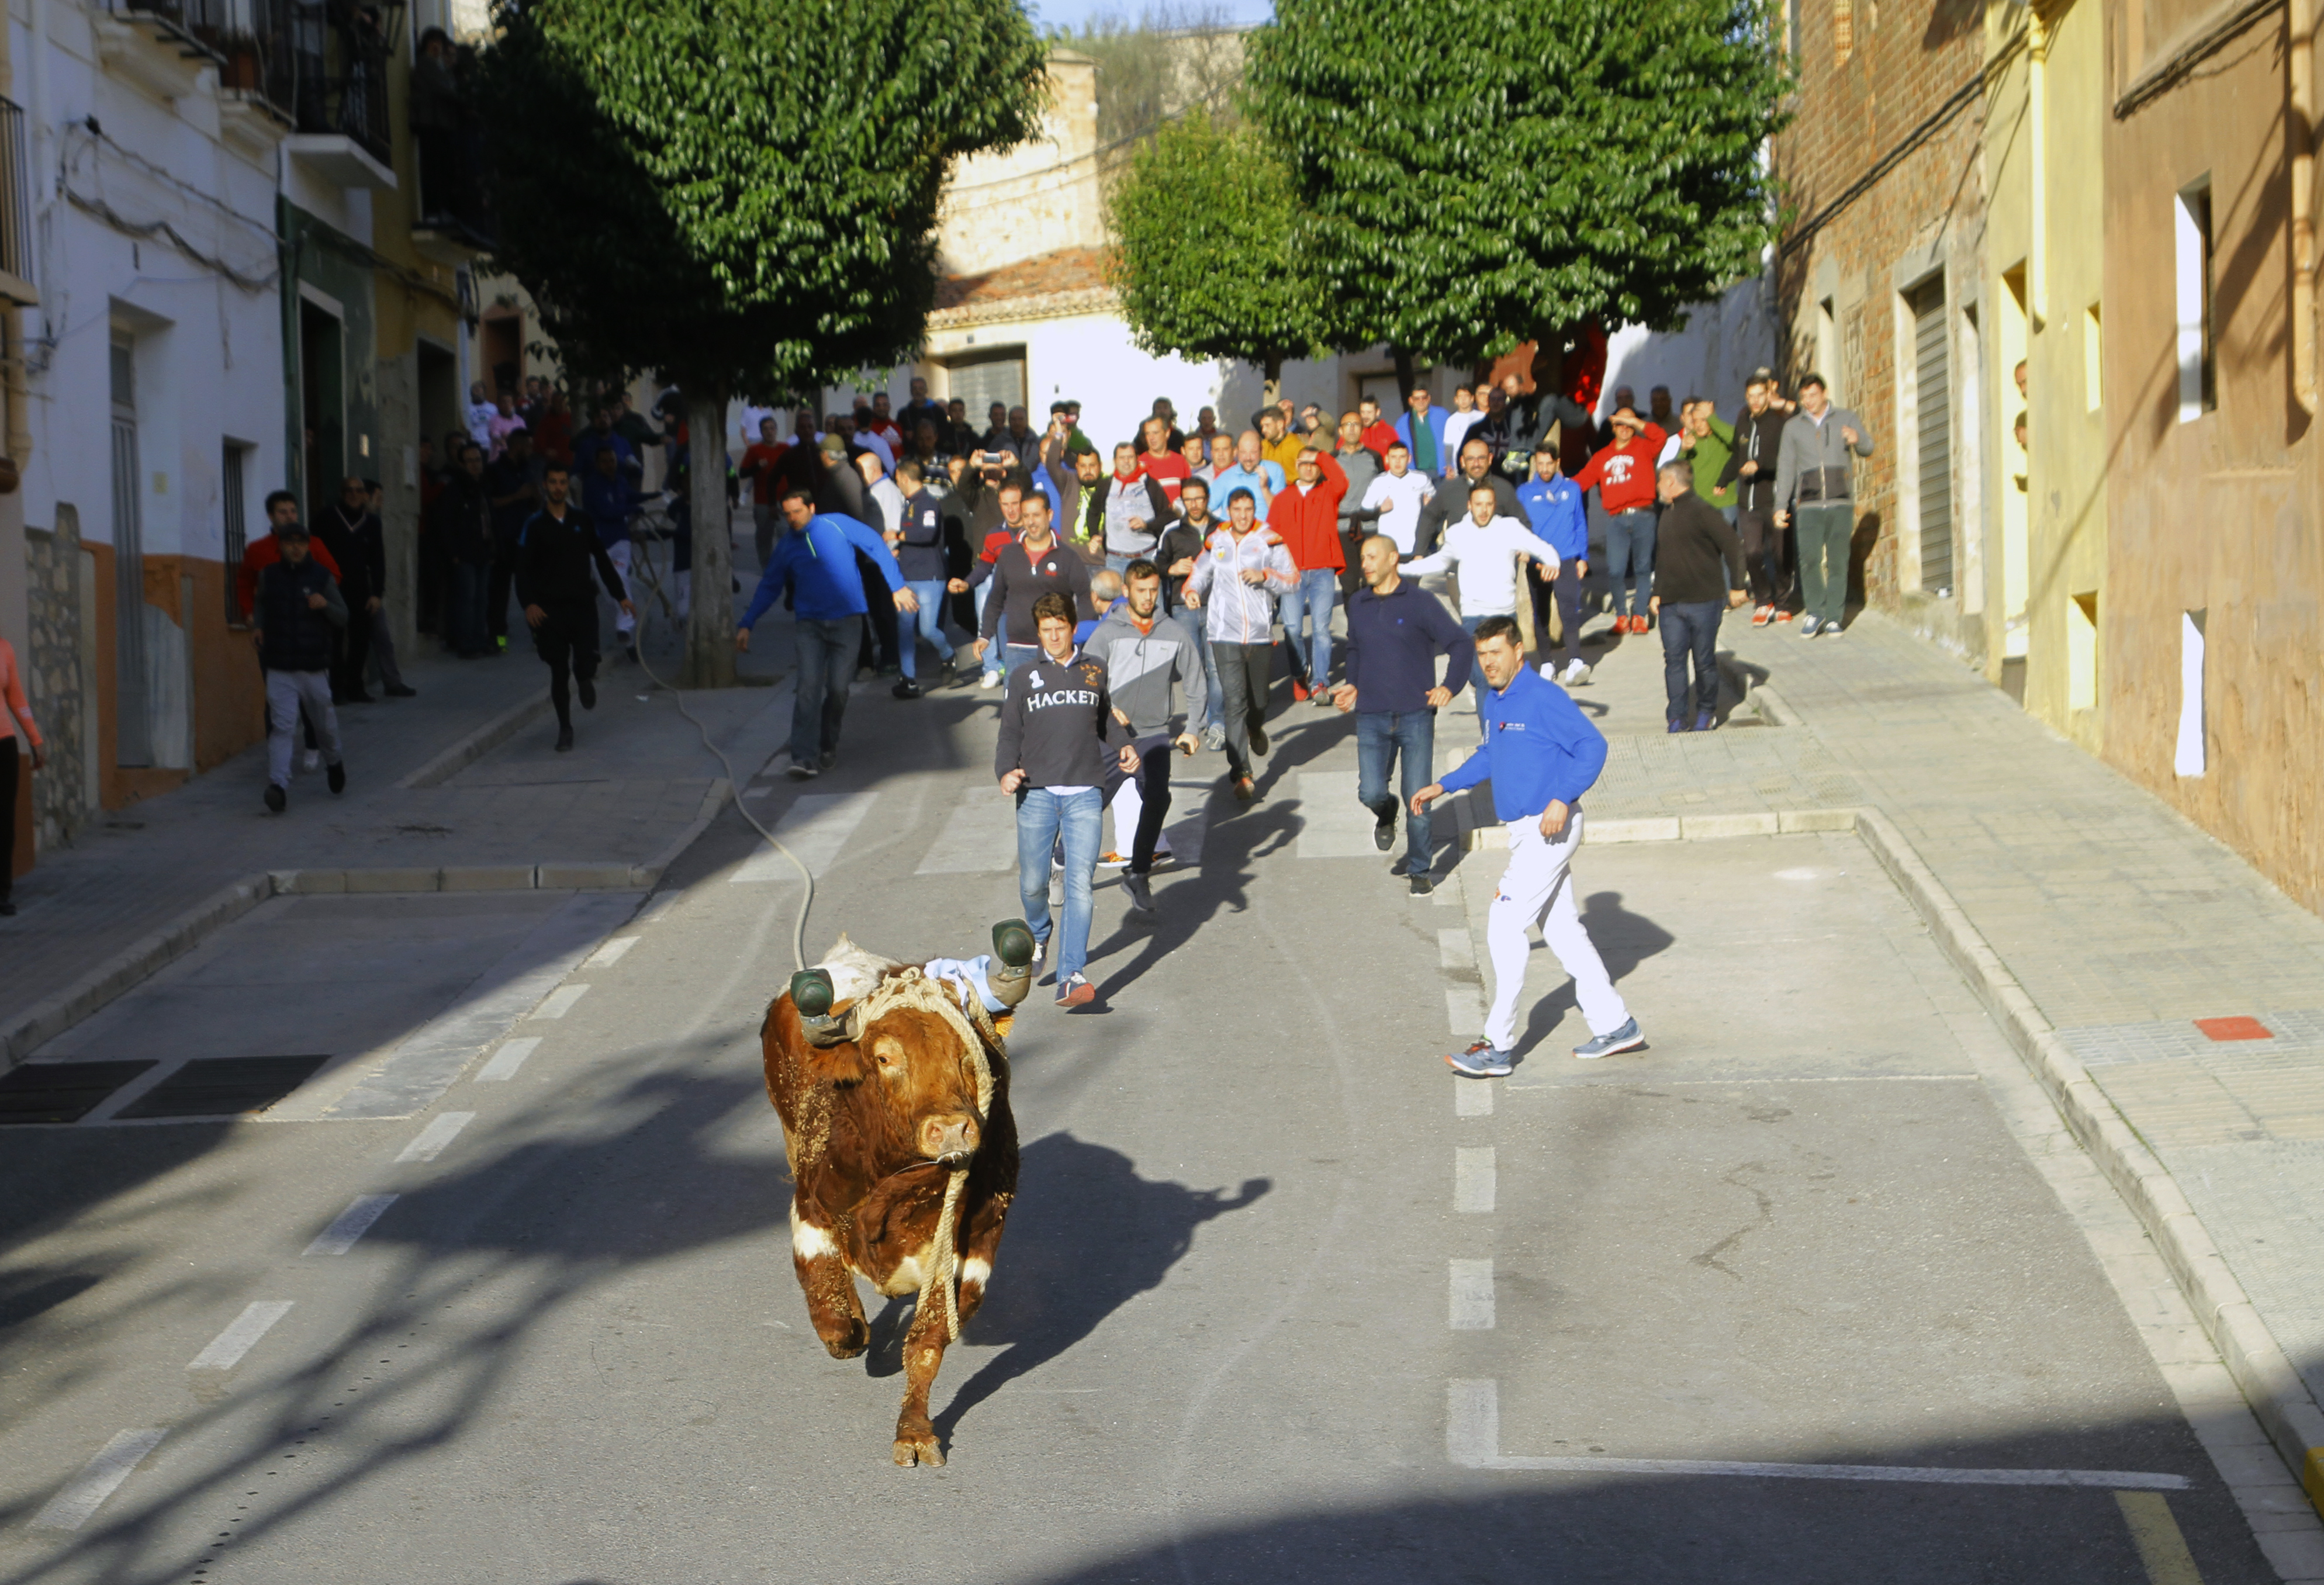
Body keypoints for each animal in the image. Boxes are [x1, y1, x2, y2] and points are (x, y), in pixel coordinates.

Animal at [762, 920, 1036, 1459]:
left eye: (966, 1055)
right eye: (885, 1057)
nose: (951, 1130)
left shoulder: (975, 1244)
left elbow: (927, 1343)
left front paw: (914, 1431)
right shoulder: (811, 1210)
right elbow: (836, 1321)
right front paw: (856, 1328)